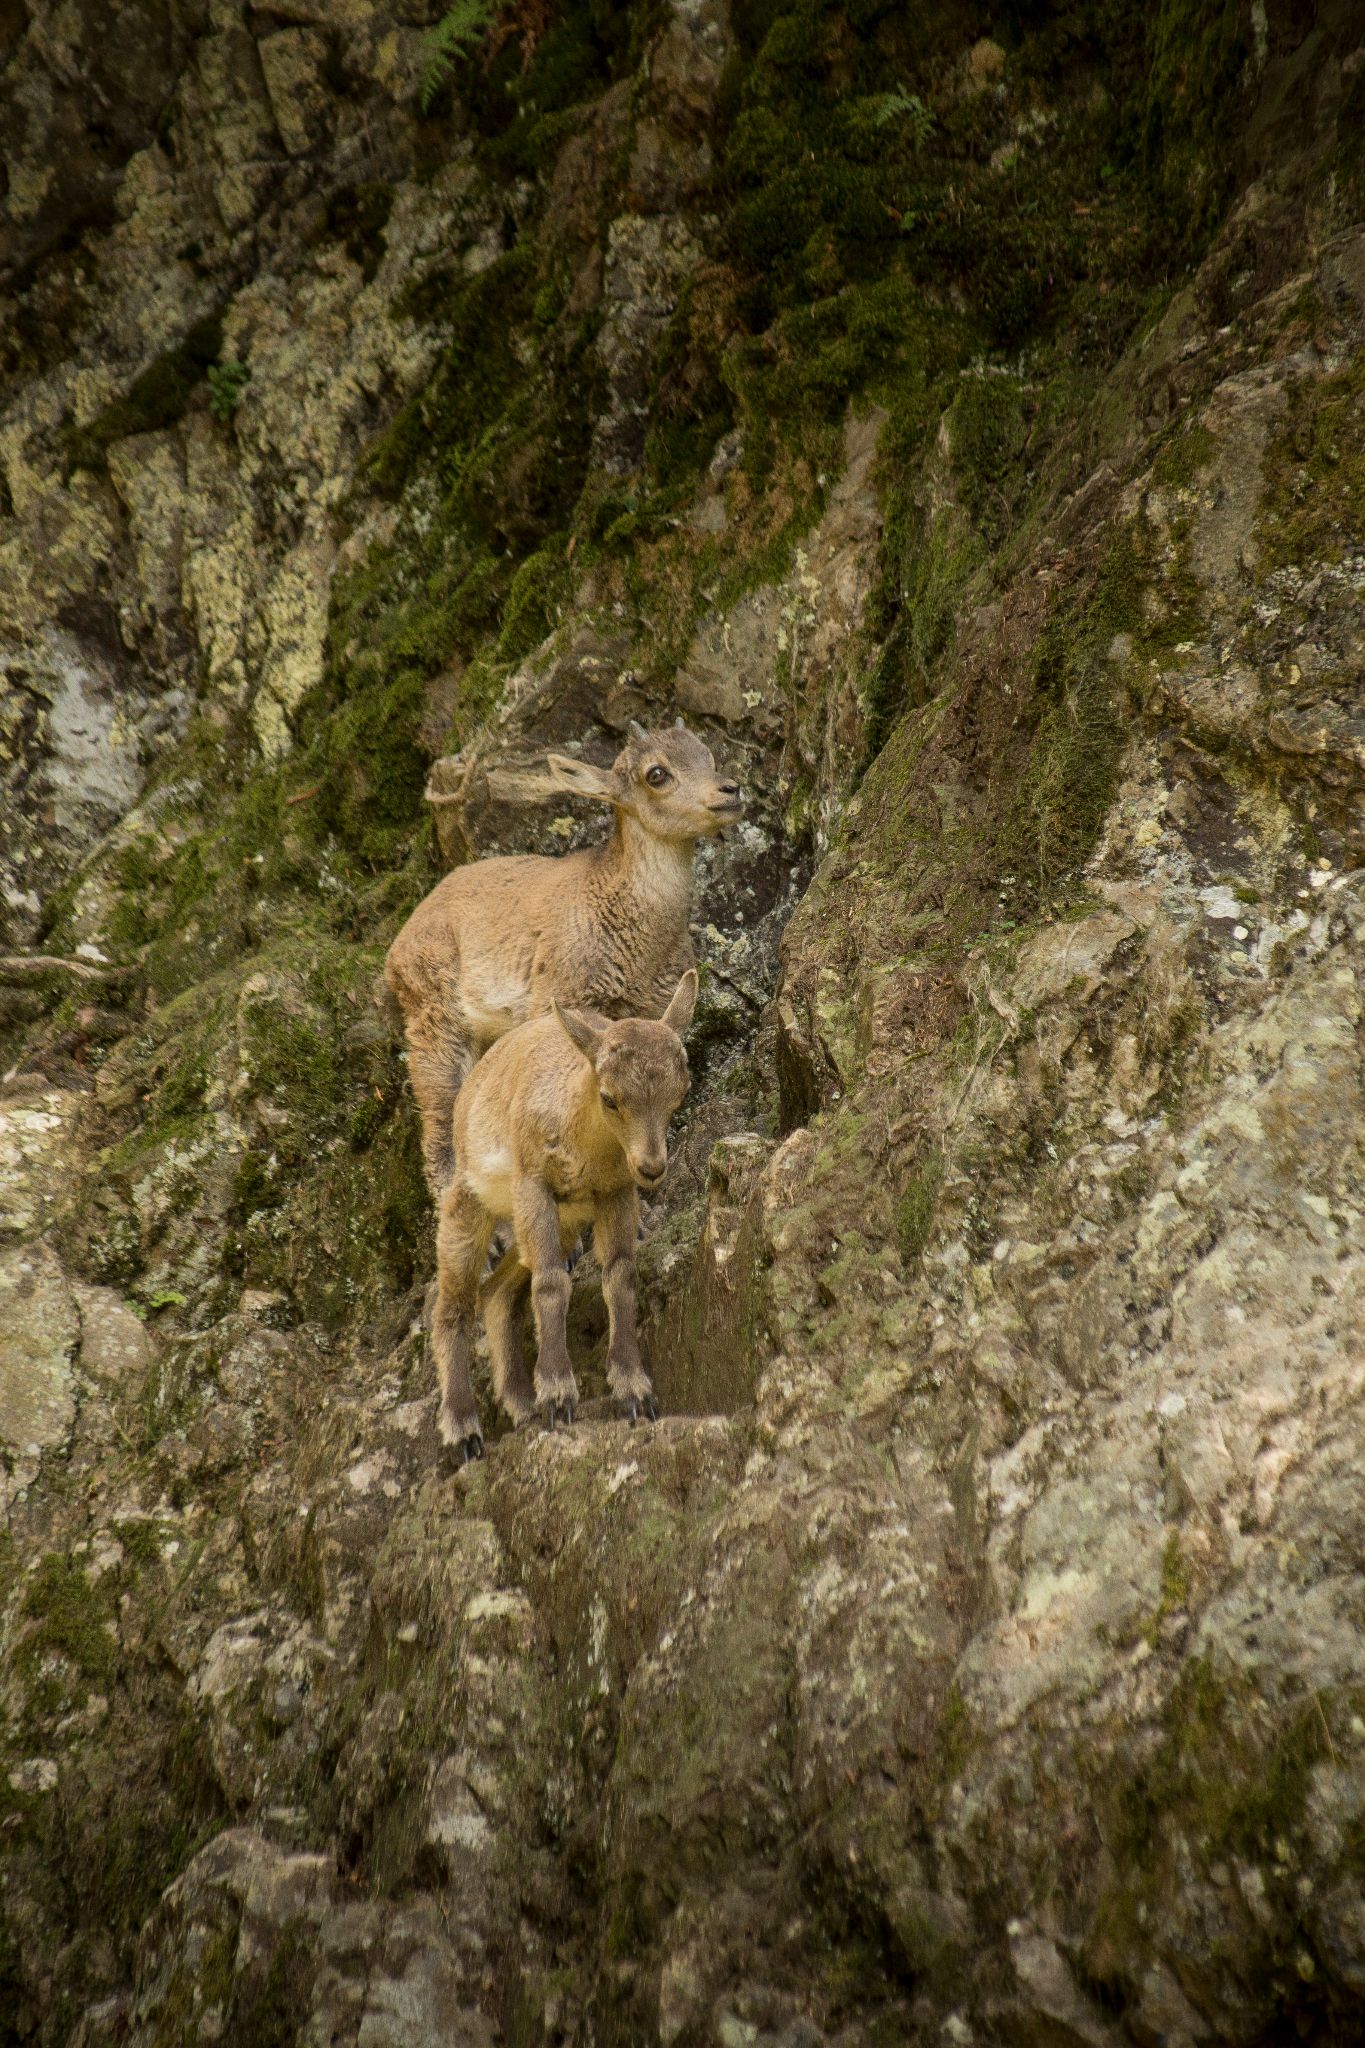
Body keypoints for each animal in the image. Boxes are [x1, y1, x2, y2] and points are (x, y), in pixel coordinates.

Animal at [385, 721, 741, 1195]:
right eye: (657, 773)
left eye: (708, 755)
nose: (730, 790)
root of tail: (398, 945)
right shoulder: (560, 994)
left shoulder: (651, 1008)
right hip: (436, 1019)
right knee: (439, 1125)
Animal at [431, 969, 697, 1459]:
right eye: (610, 1097)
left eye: (679, 1092)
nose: (651, 1168)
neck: (586, 1144)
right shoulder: (534, 1186)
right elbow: (552, 1282)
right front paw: (558, 1393)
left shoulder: (614, 1194)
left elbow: (620, 1276)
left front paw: (634, 1390)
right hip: (470, 1205)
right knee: (453, 1308)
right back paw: (464, 1428)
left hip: (563, 1220)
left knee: (497, 1294)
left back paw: (521, 1404)